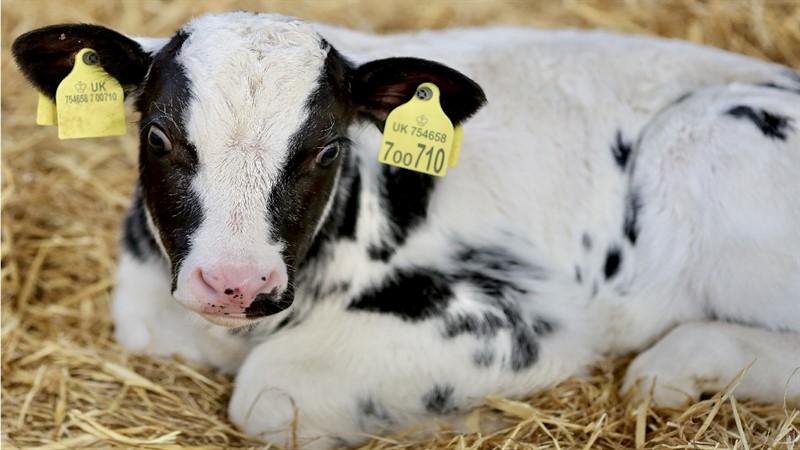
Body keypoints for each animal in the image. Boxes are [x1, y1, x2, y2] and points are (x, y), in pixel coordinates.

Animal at [13, 11, 800, 449]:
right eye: (157, 136)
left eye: (328, 149)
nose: (235, 282)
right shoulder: (147, 307)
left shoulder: (513, 319)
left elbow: (270, 396)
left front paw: (460, 424)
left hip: (705, 142)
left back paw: (677, 368)